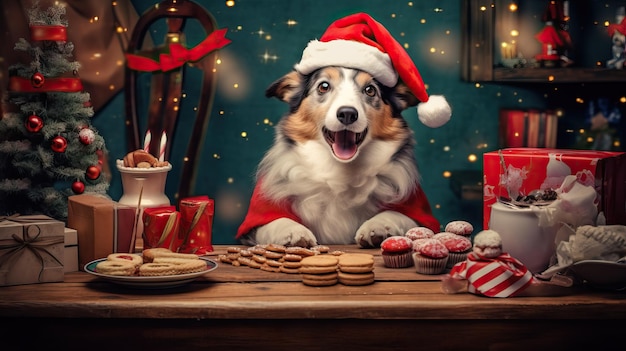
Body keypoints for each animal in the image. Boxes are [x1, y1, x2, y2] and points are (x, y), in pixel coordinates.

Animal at [235, 65, 438, 248]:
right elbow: (273, 221)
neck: (340, 170)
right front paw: (293, 231)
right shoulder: (256, 219)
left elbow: (398, 215)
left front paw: (377, 226)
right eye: (323, 86)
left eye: (370, 90)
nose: (347, 113)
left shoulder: (417, 211)